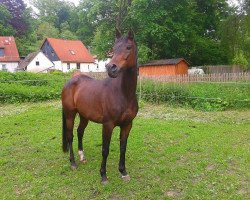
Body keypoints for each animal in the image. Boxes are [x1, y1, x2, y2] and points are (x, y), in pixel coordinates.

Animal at [61, 28, 139, 184]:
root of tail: (69, 82)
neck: (124, 94)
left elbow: (123, 147)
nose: (111, 67)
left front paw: (123, 172)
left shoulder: (127, 125)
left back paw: (82, 157)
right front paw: (103, 175)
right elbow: (105, 150)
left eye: (128, 47)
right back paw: (73, 163)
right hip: (70, 114)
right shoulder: (108, 125)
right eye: (113, 49)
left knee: (80, 132)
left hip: (84, 116)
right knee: (70, 135)